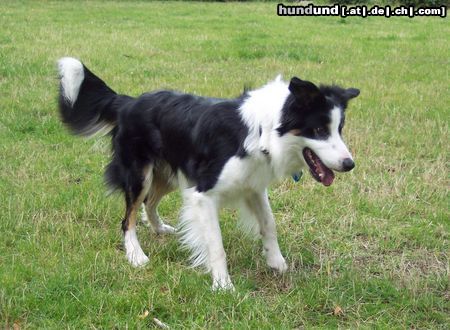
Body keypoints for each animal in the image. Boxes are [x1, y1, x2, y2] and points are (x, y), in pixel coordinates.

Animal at [57, 58, 358, 290]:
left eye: (339, 129)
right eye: (318, 130)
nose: (349, 164)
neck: (263, 131)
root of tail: (128, 102)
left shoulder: (252, 186)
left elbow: (269, 224)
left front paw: (277, 263)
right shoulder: (203, 193)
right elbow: (216, 244)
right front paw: (223, 285)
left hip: (170, 172)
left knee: (148, 203)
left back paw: (159, 228)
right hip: (140, 173)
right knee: (128, 216)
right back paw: (135, 255)